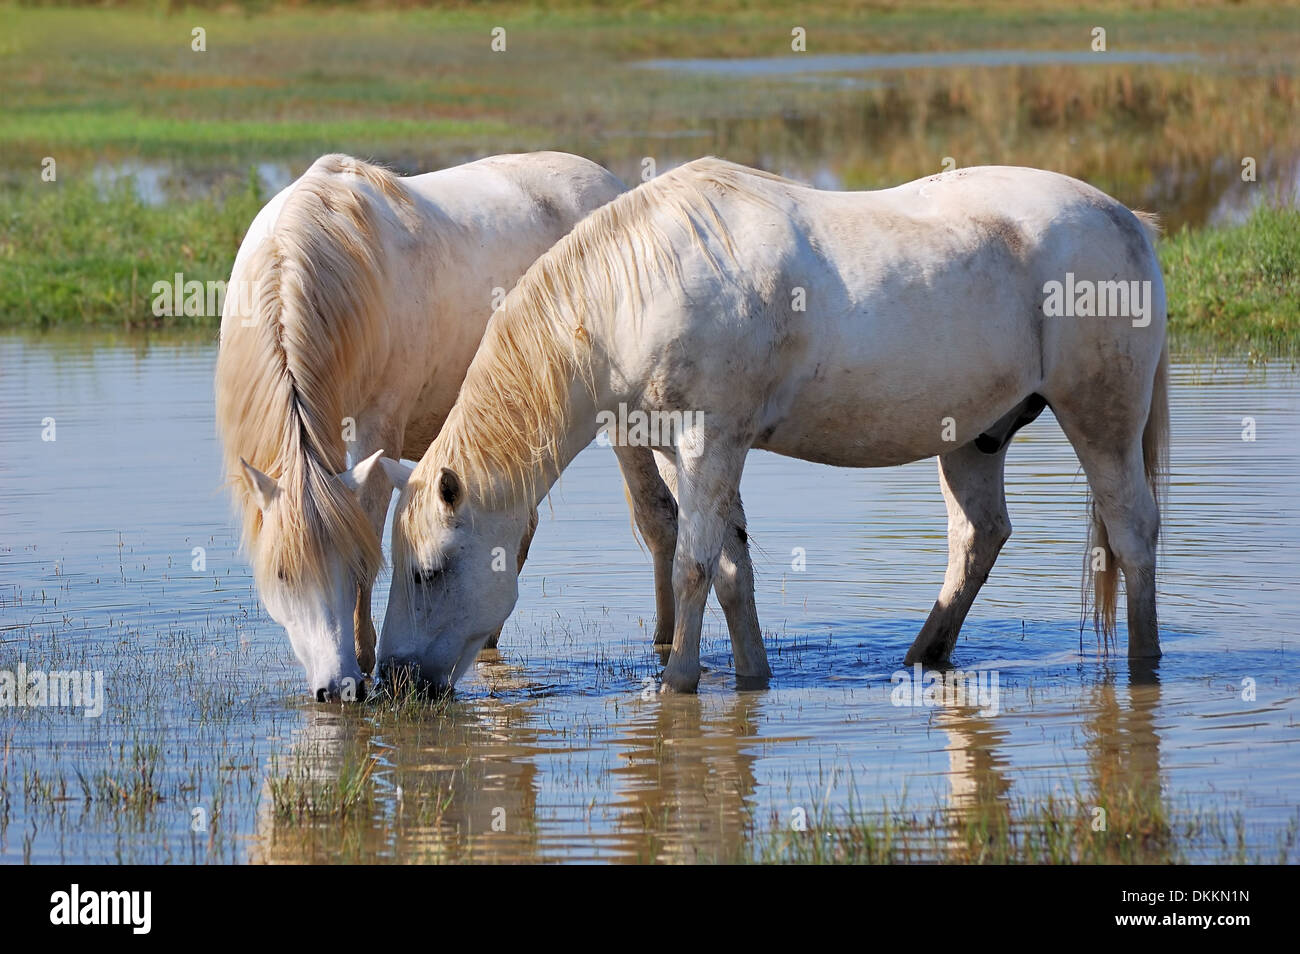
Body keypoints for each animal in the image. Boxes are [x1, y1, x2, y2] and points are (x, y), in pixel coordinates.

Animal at [216, 152, 769, 701]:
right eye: (281, 575)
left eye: (352, 566)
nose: (336, 689)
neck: (305, 259)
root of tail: (612, 184)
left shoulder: (377, 429)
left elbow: (368, 526)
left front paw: (365, 657)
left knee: (657, 520)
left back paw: (663, 642)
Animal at [378, 157, 1169, 694]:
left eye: (429, 571)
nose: (395, 680)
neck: (632, 293)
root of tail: (1129, 221)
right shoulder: (693, 453)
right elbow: (733, 567)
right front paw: (751, 676)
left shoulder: (709, 440)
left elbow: (695, 564)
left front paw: (677, 682)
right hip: (973, 438)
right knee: (979, 537)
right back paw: (922, 657)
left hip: (1101, 418)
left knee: (1132, 533)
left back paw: (1143, 665)